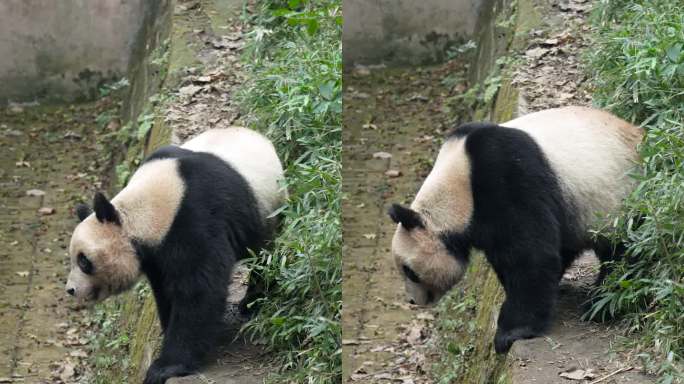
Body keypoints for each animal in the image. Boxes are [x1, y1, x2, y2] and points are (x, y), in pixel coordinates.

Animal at [66, 128, 286, 384]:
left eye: (84, 261)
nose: (71, 289)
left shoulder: (194, 221)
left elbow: (198, 292)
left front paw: (166, 366)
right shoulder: (156, 256)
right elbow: (165, 291)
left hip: (269, 212)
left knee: (265, 257)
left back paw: (251, 303)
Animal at [390, 106, 640, 354]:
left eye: (409, 271)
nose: (412, 300)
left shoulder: (508, 178)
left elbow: (530, 256)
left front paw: (511, 332)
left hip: (621, 201)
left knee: (624, 255)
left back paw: (603, 302)